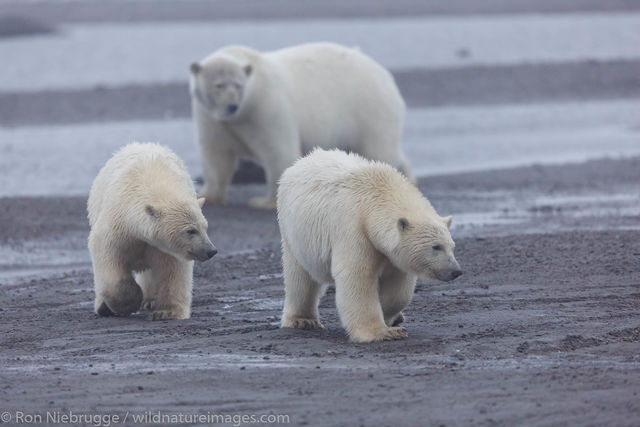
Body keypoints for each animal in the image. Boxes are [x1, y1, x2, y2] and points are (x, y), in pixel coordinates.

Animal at [87, 144, 219, 320]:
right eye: (191, 230)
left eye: (205, 227)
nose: (211, 250)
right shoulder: (117, 226)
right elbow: (108, 255)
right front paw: (129, 302)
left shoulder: (166, 248)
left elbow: (173, 270)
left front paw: (166, 312)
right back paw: (104, 307)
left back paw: (149, 300)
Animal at [190, 41, 412, 211]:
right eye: (218, 85)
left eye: (238, 85)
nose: (231, 105)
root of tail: (383, 72)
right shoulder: (211, 118)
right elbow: (216, 153)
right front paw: (209, 195)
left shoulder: (266, 109)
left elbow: (277, 152)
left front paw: (265, 202)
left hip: (369, 110)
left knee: (378, 150)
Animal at [278, 150, 462, 344]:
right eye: (436, 247)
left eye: (452, 246)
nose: (455, 271)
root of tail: (300, 162)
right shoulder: (354, 229)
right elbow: (358, 276)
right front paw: (383, 332)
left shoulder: (390, 253)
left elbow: (398, 288)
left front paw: (391, 316)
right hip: (295, 233)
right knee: (300, 278)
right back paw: (303, 320)